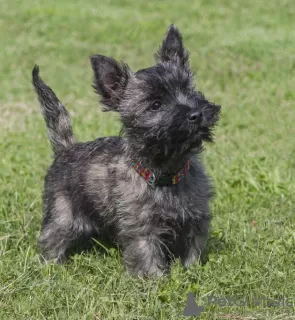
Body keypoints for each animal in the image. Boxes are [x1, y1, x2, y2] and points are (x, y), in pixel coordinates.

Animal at [33, 24, 222, 278]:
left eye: (189, 90)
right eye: (155, 105)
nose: (196, 114)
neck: (166, 173)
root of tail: (67, 148)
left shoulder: (195, 220)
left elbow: (193, 251)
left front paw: (193, 273)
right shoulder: (142, 228)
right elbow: (147, 255)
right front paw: (155, 280)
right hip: (61, 214)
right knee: (51, 238)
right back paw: (51, 267)